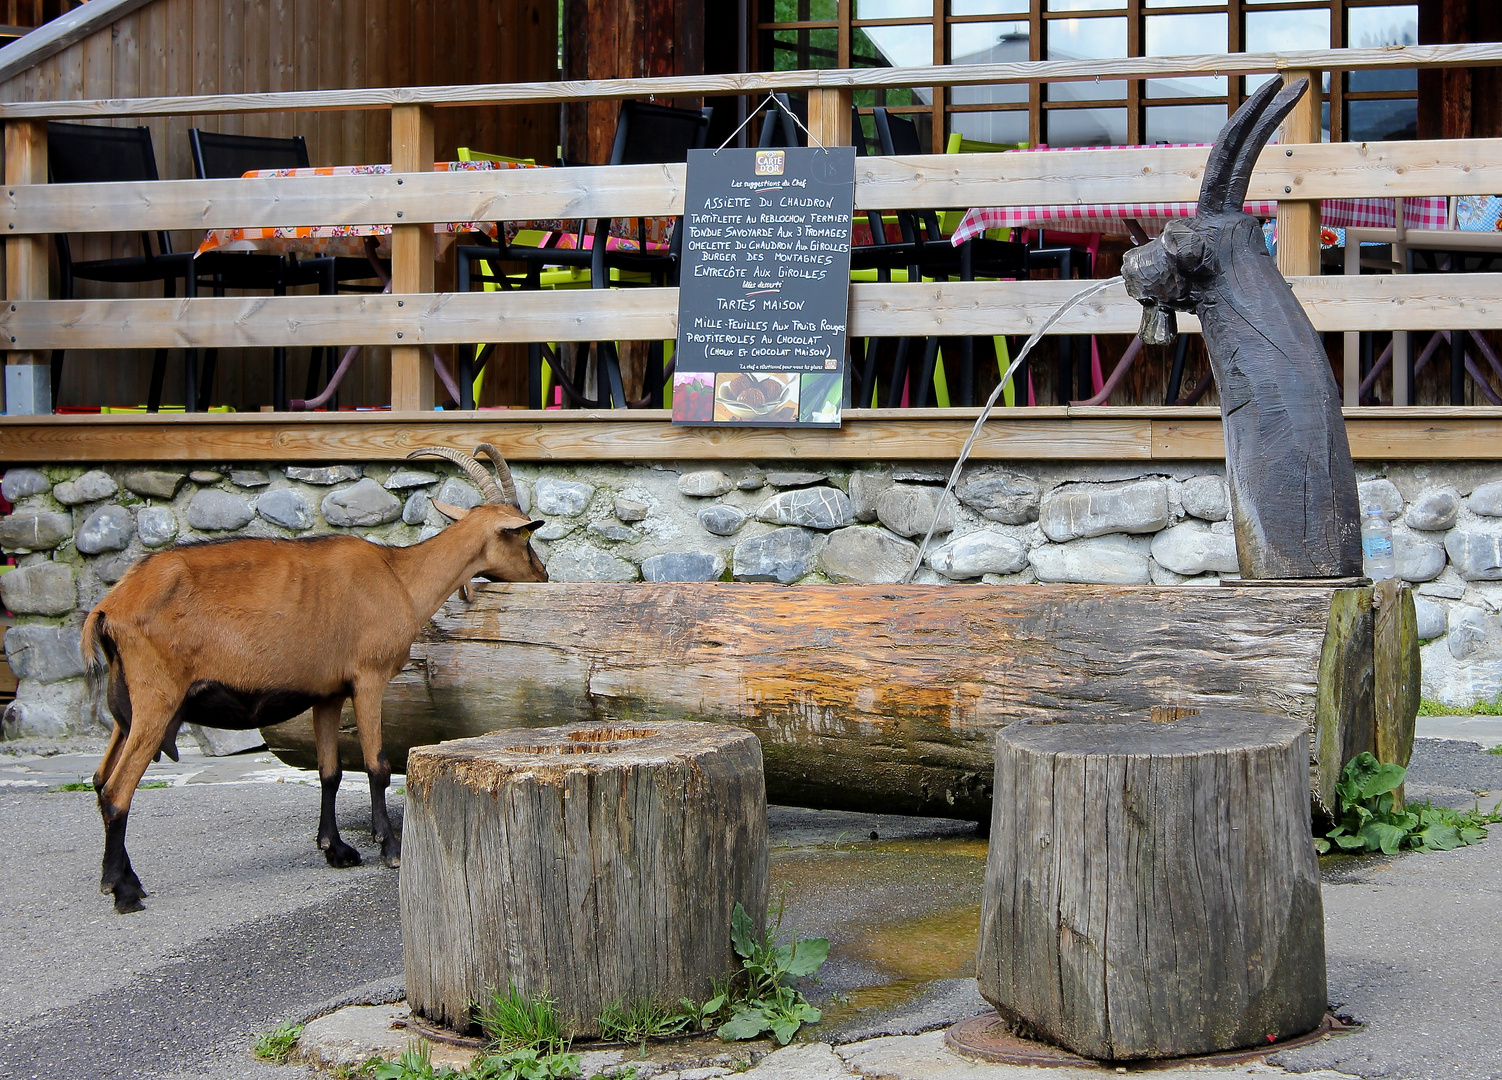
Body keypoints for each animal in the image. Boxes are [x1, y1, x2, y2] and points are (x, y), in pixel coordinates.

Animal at [77, 447, 546, 913]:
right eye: (523, 535)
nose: (542, 575)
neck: (399, 576)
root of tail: (110, 606)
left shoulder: (327, 694)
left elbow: (330, 772)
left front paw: (335, 849)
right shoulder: (368, 679)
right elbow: (377, 765)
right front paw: (390, 848)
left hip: (127, 707)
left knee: (99, 780)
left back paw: (117, 880)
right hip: (157, 696)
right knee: (117, 790)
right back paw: (125, 891)